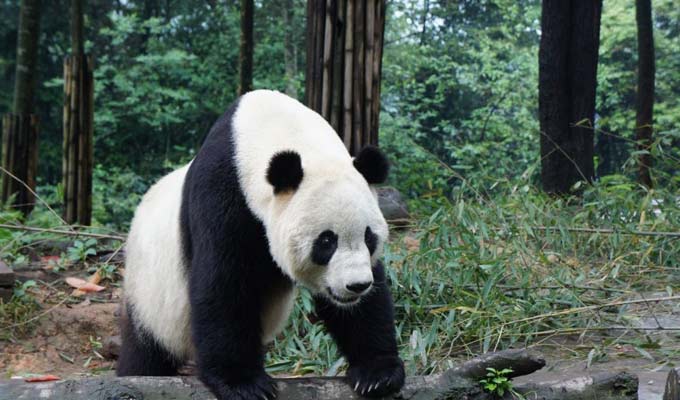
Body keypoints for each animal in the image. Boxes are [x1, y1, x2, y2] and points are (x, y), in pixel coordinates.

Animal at [117, 90, 404, 400]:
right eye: (326, 241)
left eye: (369, 237)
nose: (356, 286)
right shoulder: (222, 193)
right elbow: (223, 283)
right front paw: (243, 383)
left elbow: (369, 302)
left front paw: (378, 373)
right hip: (149, 296)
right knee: (145, 352)